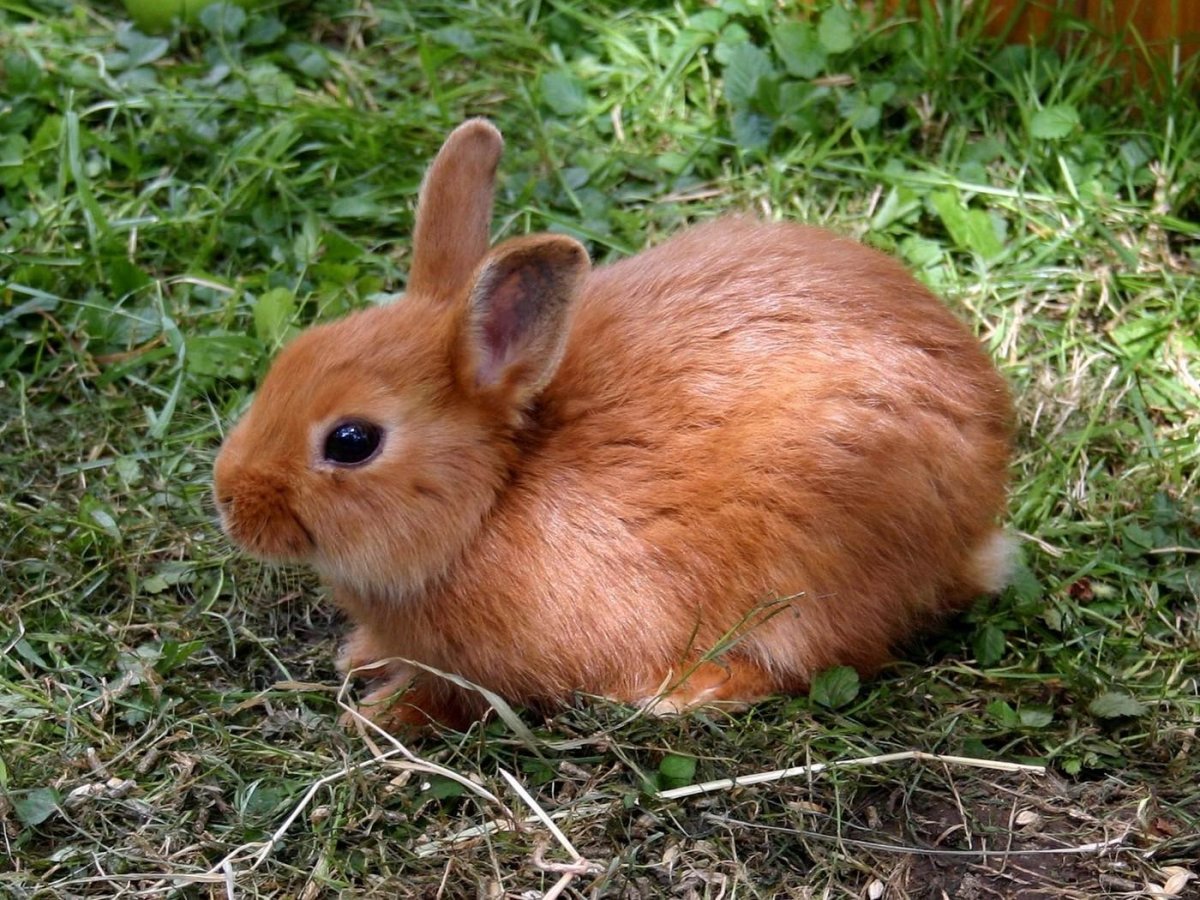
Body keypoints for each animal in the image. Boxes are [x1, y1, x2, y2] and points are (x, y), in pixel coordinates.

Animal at [212, 118, 1014, 731]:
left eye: (352, 441)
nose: (229, 501)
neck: (492, 496)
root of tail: (973, 528)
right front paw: (357, 657)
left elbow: (448, 700)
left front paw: (377, 716)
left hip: (811, 571)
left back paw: (679, 694)